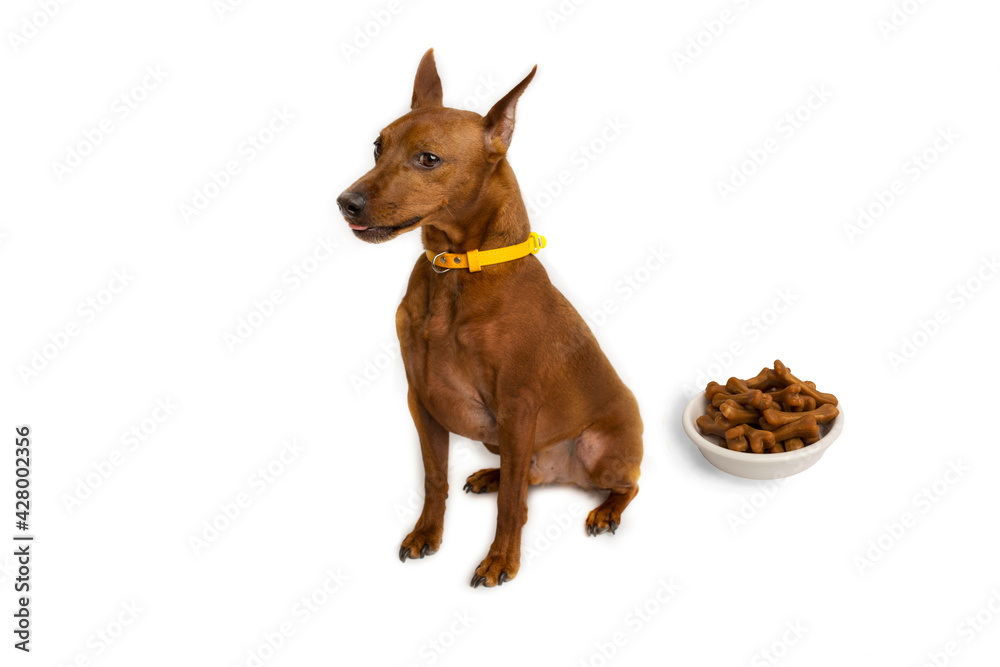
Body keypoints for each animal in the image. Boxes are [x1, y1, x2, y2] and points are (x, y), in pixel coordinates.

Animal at [340, 49, 644, 588]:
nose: (345, 203)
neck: (455, 272)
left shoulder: (518, 408)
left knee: (621, 486)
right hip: (503, 442)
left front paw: (501, 560)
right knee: (525, 481)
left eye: (428, 159)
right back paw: (492, 476)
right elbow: (434, 478)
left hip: (596, 451)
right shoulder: (421, 400)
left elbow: (509, 508)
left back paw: (605, 511)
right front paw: (427, 534)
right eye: (377, 147)